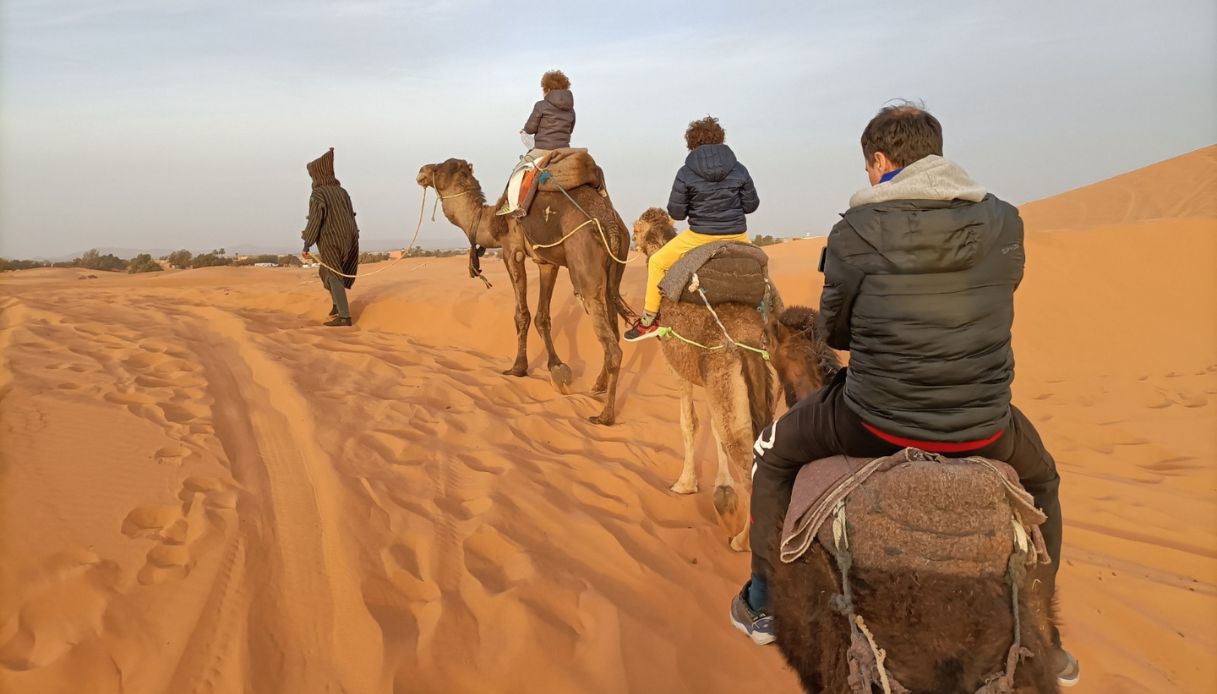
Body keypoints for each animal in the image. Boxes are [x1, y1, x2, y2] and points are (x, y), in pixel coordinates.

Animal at [416, 159, 632, 423]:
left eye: (438, 169)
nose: (421, 172)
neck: (491, 221)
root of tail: (610, 222)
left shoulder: (512, 251)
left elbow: (522, 314)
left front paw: (518, 368)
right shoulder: (546, 262)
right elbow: (542, 316)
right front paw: (556, 367)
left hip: (584, 265)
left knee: (612, 345)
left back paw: (605, 415)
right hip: (615, 269)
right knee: (613, 326)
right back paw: (598, 385)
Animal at [632, 208, 774, 547]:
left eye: (636, 230)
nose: (631, 241)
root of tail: (746, 339)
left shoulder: (678, 370)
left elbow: (689, 424)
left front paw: (685, 484)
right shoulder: (710, 379)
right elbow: (712, 429)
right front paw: (722, 494)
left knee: (743, 455)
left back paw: (741, 542)